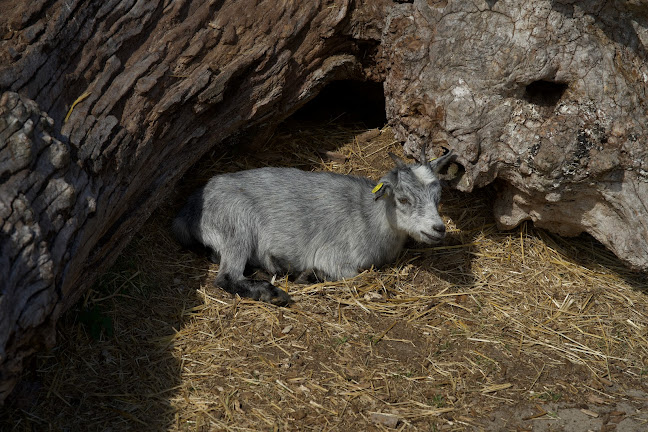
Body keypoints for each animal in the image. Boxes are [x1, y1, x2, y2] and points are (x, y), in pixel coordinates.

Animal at [173, 147, 456, 306]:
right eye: (403, 199)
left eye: (438, 197)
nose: (438, 229)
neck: (367, 215)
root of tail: (187, 211)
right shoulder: (336, 256)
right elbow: (351, 274)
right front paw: (308, 276)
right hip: (236, 224)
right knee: (226, 277)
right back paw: (273, 292)